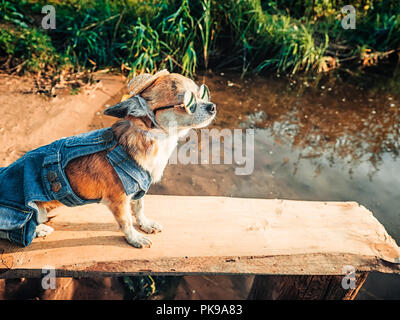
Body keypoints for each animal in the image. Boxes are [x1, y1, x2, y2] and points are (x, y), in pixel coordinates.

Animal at [0, 70, 216, 248]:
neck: (158, 140)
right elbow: (126, 220)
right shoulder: (118, 199)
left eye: (202, 94)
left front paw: (145, 224)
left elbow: (139, 208)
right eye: (188, 103)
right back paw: (39, 230)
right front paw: (134, 238)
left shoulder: (138, 189)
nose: (212, 106)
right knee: (12, 231)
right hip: (23, 212)